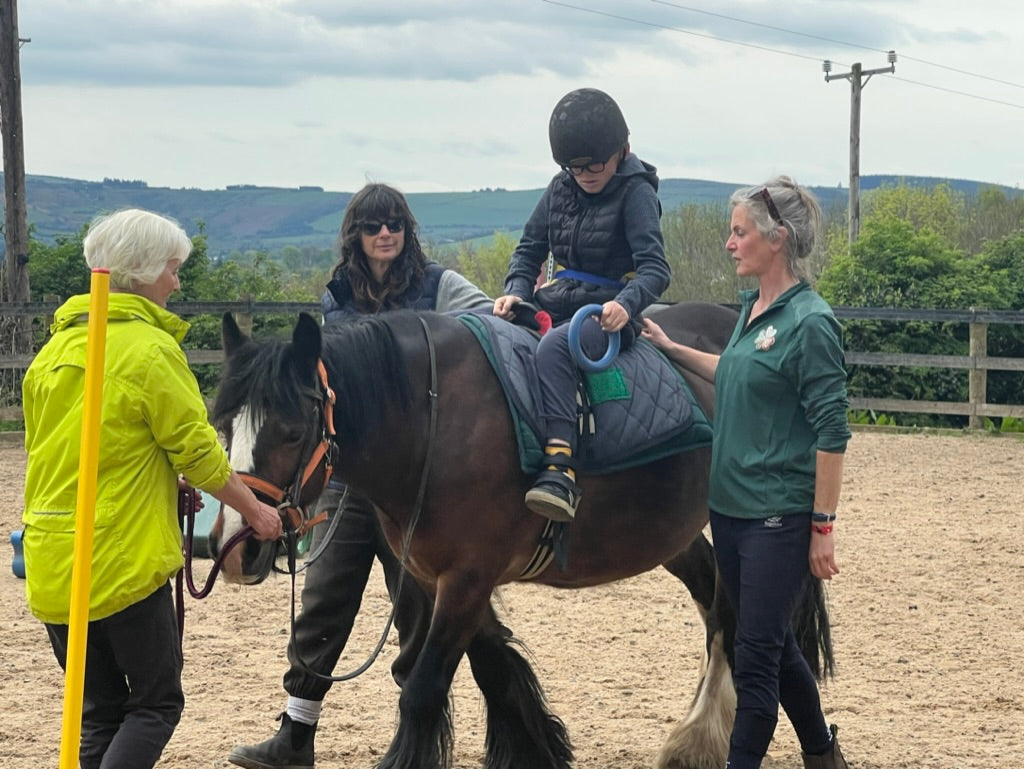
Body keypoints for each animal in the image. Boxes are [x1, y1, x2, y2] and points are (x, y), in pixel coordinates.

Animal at [209, 303, 831, 769]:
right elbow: (493, 669)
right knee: (717, 607)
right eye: (220, 423)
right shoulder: (439, 578)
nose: (242, 546)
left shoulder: (468, 577)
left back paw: (704, 737)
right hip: (677, 538)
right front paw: (538, 748)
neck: (433, 421)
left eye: (292, 431)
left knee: (736, 617)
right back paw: (699, 739)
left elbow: (423, 690)